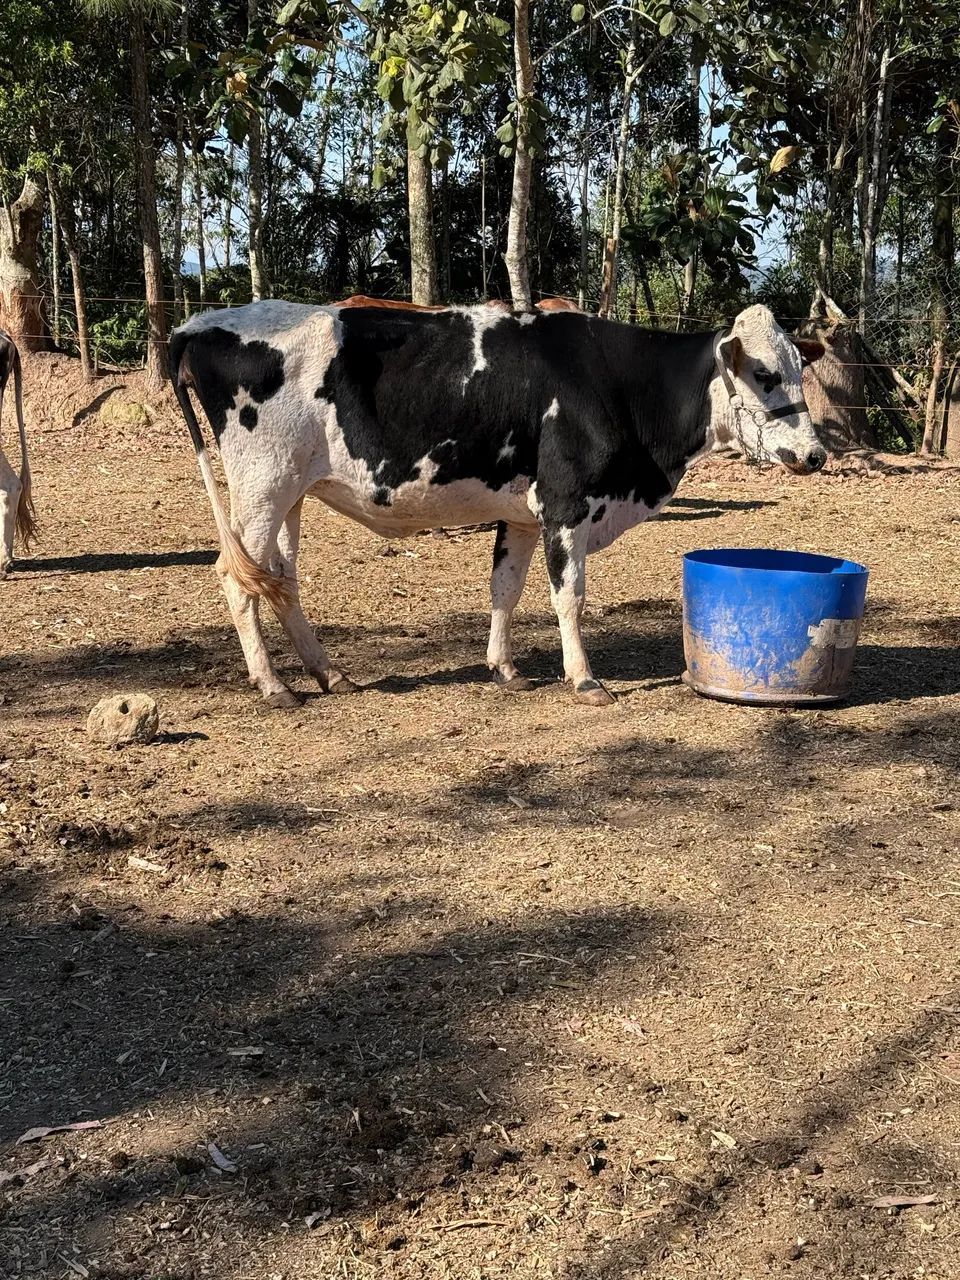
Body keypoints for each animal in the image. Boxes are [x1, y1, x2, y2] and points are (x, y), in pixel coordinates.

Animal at [169, 301, 825, 708]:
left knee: (280, 579)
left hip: (291, 493)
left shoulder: (521, 514)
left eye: (799, 368)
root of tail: (200, 324)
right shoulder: (566, 504)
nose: (815, 453)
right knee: (236, 578)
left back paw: (329, 672)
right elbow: (569, 597)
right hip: (261, 488)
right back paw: (273, 685)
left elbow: (505, 590)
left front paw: (505, 669)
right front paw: (584, 679)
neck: (620, 383)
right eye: (764, 374)